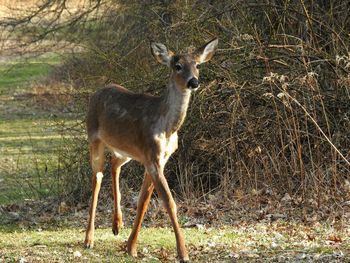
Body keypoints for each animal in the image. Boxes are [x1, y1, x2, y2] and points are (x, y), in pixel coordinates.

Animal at [83, 37, 217, 263]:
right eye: (177, 66)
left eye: (198, 65)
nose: (194, 82)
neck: (167, 127)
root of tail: (95, 93)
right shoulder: (152, 157)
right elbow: (169, 202)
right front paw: (183, 253)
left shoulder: (158, 159)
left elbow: (143, 202)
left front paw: (131, 247)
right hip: (94, 139)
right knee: (96, 178)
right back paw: (88, 239)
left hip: (125, 150)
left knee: (114, 165)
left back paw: (117, 224)